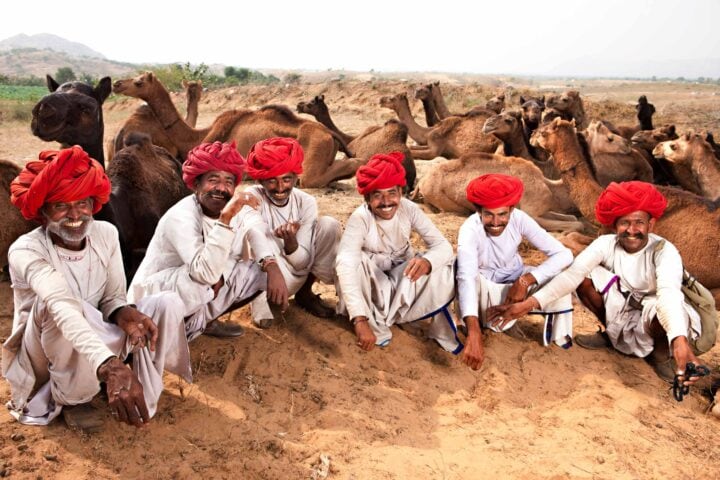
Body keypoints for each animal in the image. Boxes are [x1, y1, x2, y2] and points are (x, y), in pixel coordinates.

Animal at [113, 71, 354, 188]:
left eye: (139, 82)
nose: (116, 84)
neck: (195, 136)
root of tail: (330, 134)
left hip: (315, 153)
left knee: (321, 175)